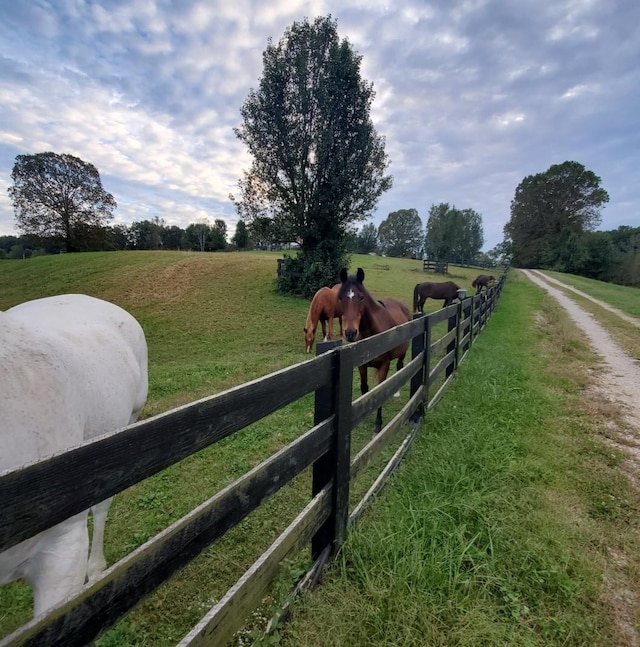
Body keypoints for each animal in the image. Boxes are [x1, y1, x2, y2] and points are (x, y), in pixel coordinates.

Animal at [336, 268, 410, 436]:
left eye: (361, 297)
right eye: (341, 298)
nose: (350, 333)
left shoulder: (384, 365)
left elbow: (379, 393)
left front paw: (378, 424)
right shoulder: (362, 366)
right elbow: (365, 389)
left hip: (402, 353)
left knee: (400, 367)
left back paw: (396, 392)